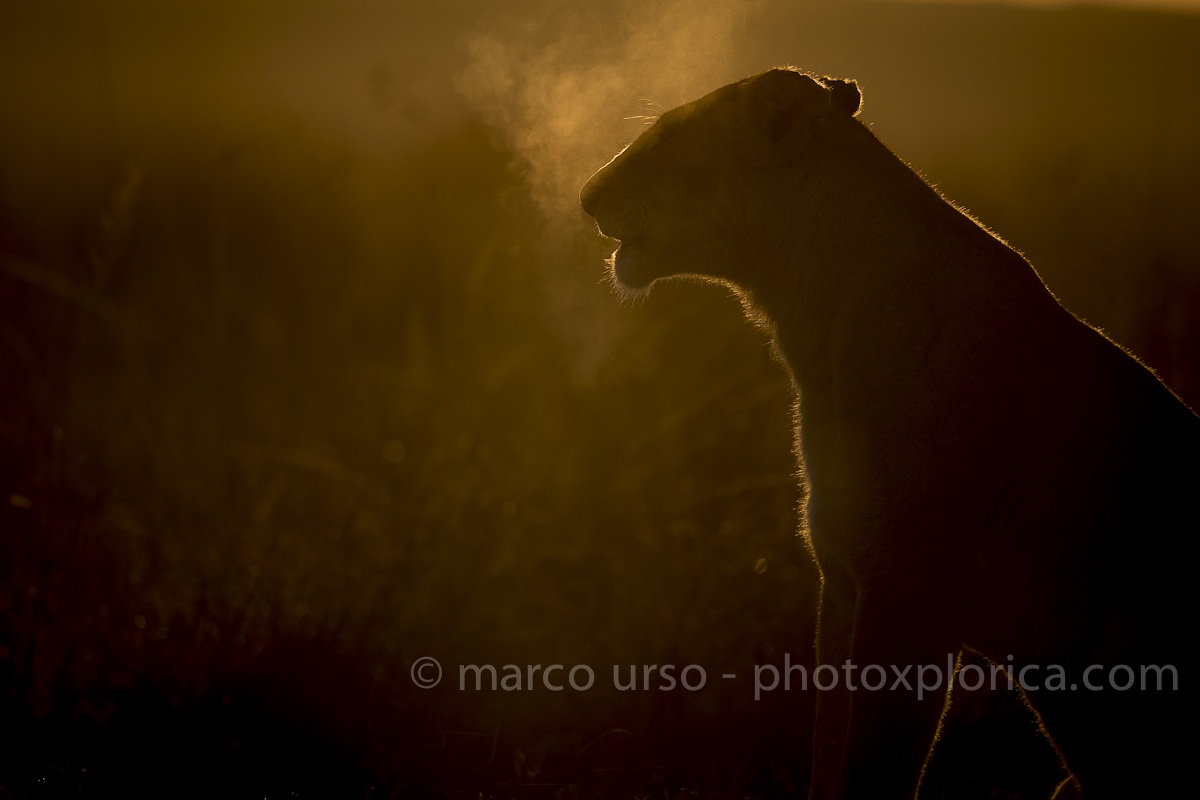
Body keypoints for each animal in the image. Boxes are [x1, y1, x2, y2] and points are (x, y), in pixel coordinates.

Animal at [580, 67, 1197, 799]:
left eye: (668, 136)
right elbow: (829, 749)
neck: (812, 322)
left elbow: (872, 764)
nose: (586, 196)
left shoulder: (907, 592)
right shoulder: (843, 581)